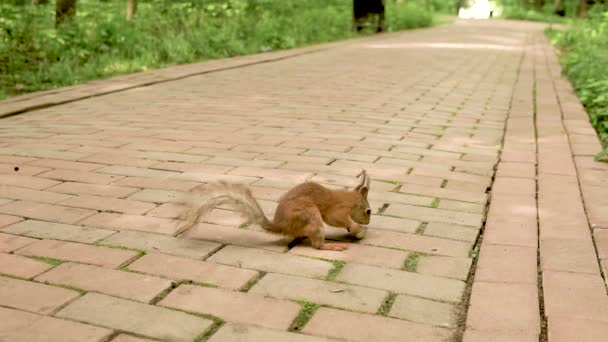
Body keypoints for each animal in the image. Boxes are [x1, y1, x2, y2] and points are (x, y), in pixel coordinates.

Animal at [176, 170, 370, 250]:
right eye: (368, 211)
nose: (368, 222)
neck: (349, 200)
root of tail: (282, 226)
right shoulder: (336, 211)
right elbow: (338, 218)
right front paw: (356, 228)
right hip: (311, 216)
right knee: (317, 245)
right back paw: (332, 246)